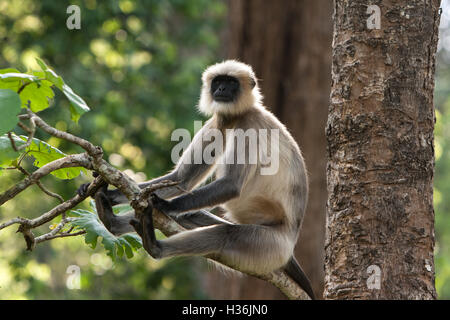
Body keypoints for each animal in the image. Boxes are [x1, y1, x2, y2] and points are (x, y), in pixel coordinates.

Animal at [79, 60, 314, 300]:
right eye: (218, 82)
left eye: (231, 83)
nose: (221, 89)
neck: (236, 116)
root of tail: (290, 244)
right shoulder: (218, 122)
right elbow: (182, 180)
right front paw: (108, 193)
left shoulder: (249, 125)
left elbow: (230, 185)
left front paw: (163, 204)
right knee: (190, 214)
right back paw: (112, 221)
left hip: (269, 245)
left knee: (224, 234)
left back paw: (155, 246)